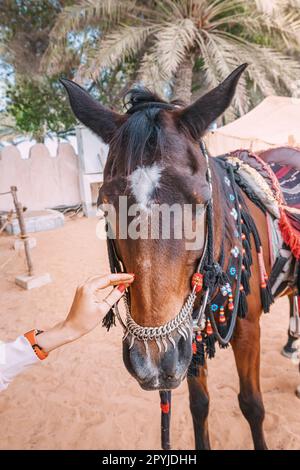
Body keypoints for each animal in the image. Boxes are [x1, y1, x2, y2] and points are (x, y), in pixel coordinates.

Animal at [61, 64, 298, 450]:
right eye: (105, 206)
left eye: (201, 202)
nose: (152, 360)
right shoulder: (188, 343)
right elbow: (199, 405)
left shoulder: (247, 329)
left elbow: (251, 405)